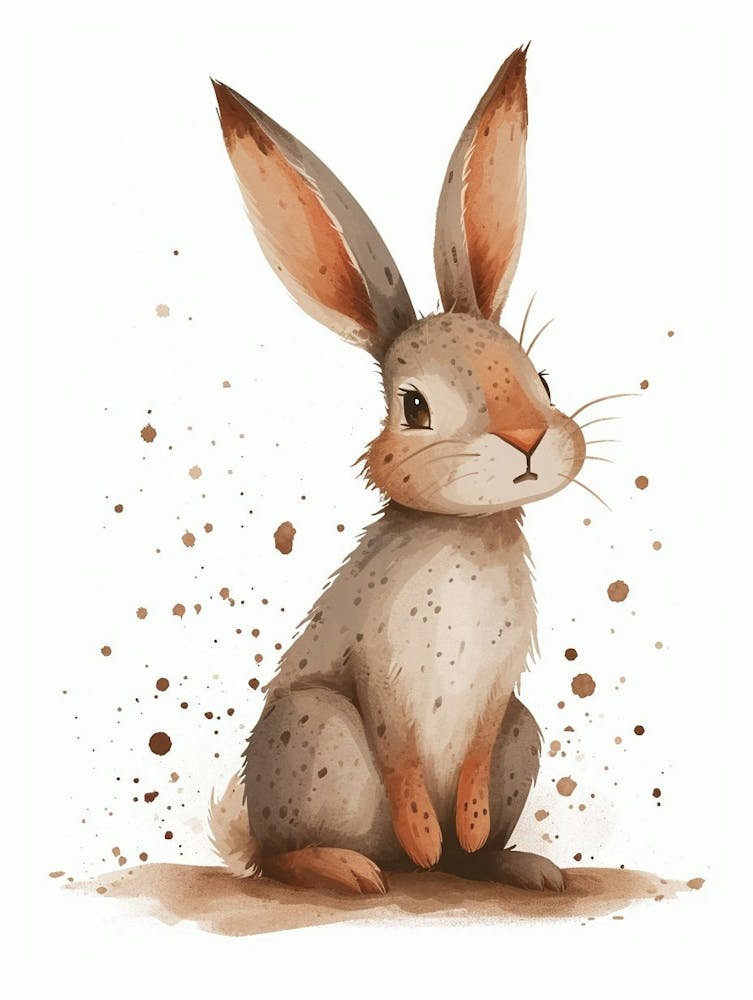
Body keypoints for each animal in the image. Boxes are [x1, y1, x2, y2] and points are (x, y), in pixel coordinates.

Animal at [208, 45, 586, 896]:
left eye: (541, 380)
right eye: (414, 408)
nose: (525, 439)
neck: (462, 532)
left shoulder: (499, 689)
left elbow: (473, 750)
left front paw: (465, 824)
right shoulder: (374, 665)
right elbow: (400, 751)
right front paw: (421, 833)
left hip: (523, 731)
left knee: (473, 848)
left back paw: (513, 863)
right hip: (314, 728)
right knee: (281, 859)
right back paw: (358, 867)